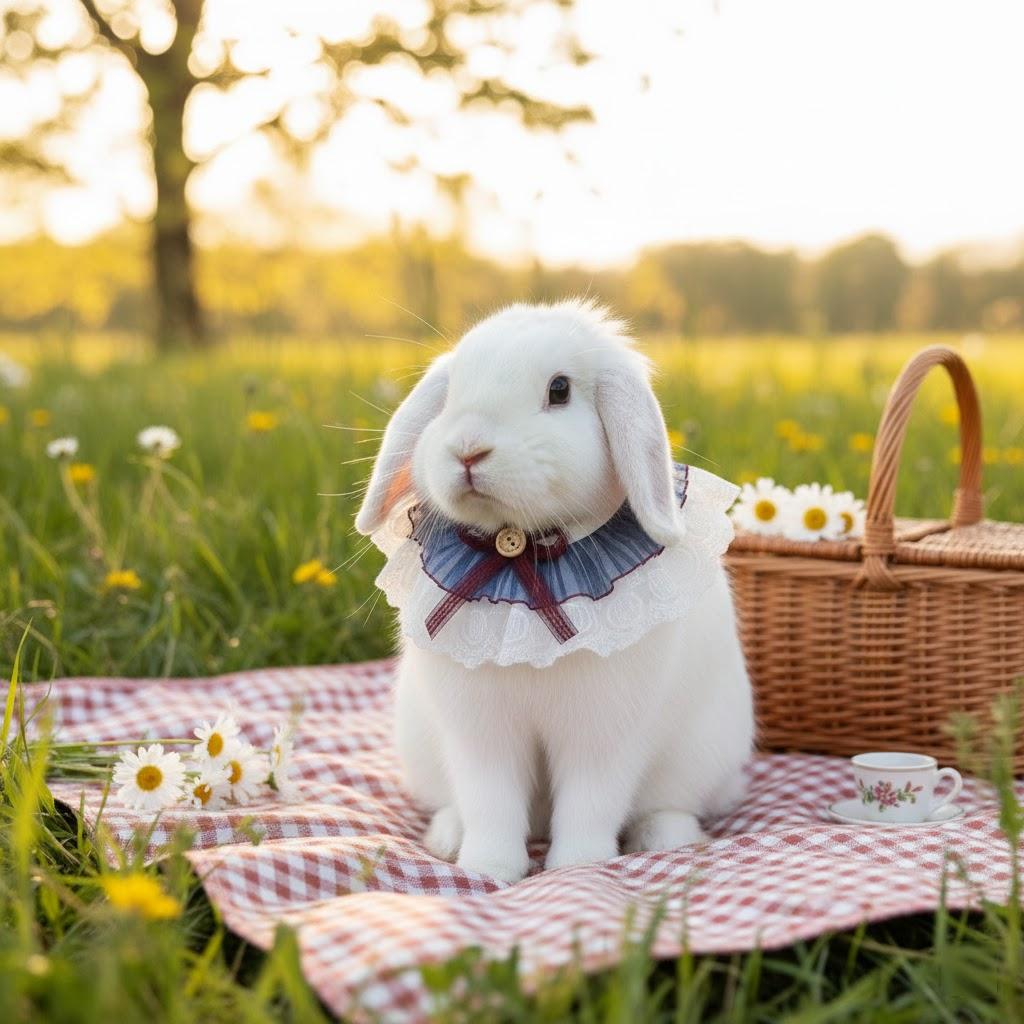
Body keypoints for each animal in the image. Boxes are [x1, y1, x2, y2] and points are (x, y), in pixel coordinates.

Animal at [356, 300, 753, 884]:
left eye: (560, 389)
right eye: (450, 394)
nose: (468, 450)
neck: (519, 553)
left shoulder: (603, 734)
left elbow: (591, 801)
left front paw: (579, 866)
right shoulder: (481, 736)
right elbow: (491, 802)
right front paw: (489, 869)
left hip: (703, 756)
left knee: (671, 805)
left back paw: (665, 837)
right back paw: (447, 838)